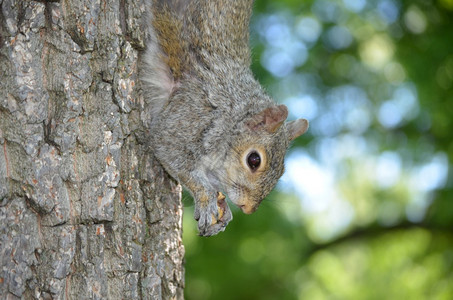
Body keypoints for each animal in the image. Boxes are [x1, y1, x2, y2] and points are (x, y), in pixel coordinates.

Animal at [140, 0, 308, 236]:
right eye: (254, 160)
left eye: (282, 171)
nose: (248, 208)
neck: (229, 115)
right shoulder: (187, 116)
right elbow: (171, 152)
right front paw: (205, 198)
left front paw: (223, 209)